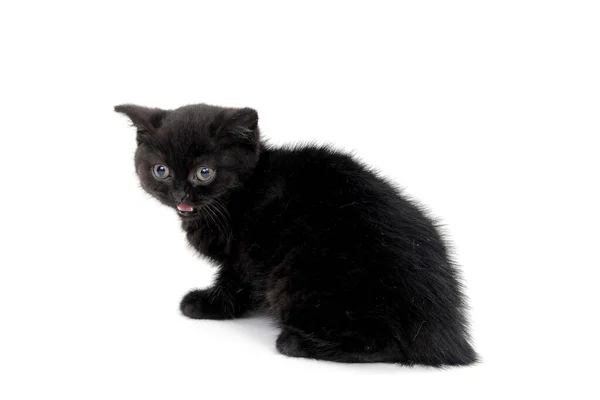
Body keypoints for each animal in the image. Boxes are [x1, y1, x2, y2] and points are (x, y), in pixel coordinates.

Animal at [115, 103, 476, 366]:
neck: (239, 194)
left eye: (204, 172)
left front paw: (208, 305)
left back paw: (295, 341)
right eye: (161, 170)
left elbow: (234, 281)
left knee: (386, 343)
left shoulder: (245, 252)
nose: (180, 195)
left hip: (298, 278)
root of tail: (446, 333)